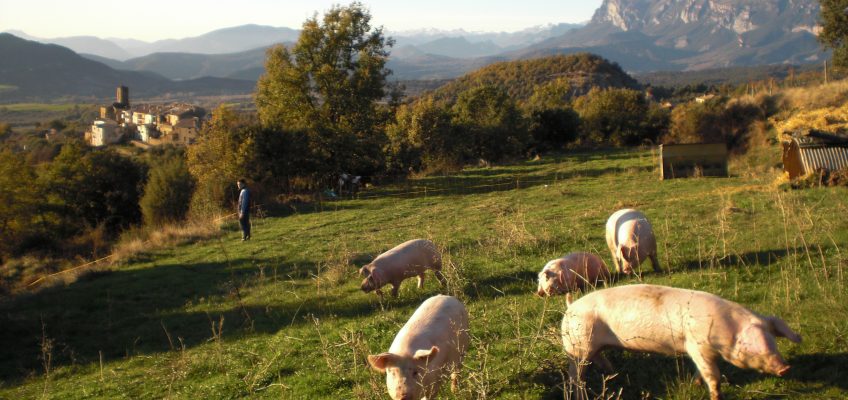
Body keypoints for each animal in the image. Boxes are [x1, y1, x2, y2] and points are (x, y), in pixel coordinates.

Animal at [564, 284, 800, 400]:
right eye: (751, 346)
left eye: (773, 342)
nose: (786, 368)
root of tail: (570, 307)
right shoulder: (697, 346)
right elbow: (712, 376)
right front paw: (716, 396)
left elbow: (700, 371)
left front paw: (694, 384)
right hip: (579, 347)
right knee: (576, 375)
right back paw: (582, 394)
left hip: (592, 346)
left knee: (598, 358)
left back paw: (612, 371)